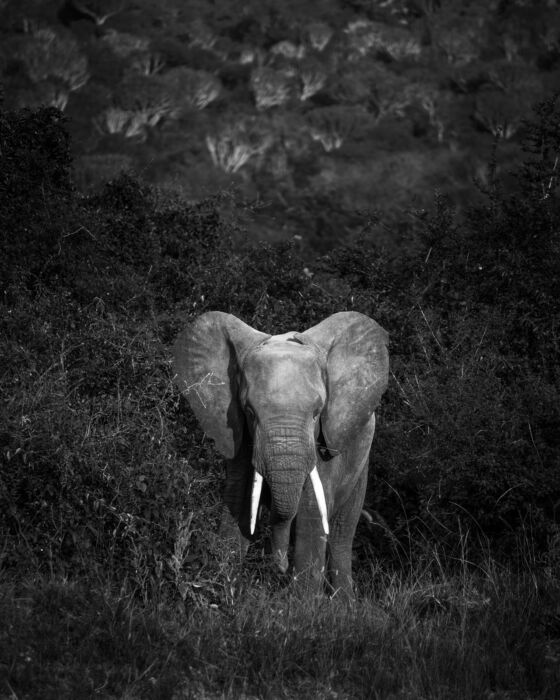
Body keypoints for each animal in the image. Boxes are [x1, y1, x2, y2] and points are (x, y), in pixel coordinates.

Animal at [173, 310, 389, 597]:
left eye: (317, 413)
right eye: (250, 411)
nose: (280, 566)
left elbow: (312, 516)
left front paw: (304, 604)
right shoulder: (240, 437)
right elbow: (238, 503)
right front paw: (226, 592)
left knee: (342, 534)